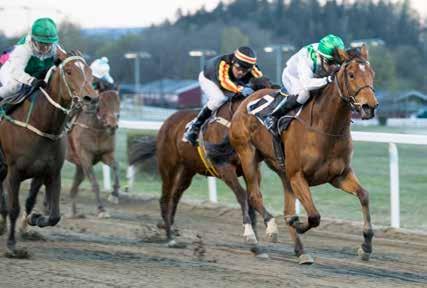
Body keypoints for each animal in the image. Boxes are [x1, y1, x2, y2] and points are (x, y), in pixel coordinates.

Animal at [0, 53, 97, 258]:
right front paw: (12, 246)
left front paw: (35, 219)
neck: (42, 126)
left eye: (90, 72)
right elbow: (13, 208)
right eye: (68, 71)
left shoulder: (51, 172)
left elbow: (53, 215)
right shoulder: (14, 172)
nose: (91, 99)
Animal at [229, 45, 380, 264]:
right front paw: (298, 224)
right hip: (248, 154)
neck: (325, 127)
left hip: (282, 171)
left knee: (284, 208)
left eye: (372, 74)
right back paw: (267, 233)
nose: (370, 106)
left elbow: (364, 195)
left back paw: (300, 251)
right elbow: (314, 216)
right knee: (254, 196)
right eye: (351, 74)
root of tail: (246, 100)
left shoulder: (339, 175)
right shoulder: (298, 176)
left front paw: (366, 246)